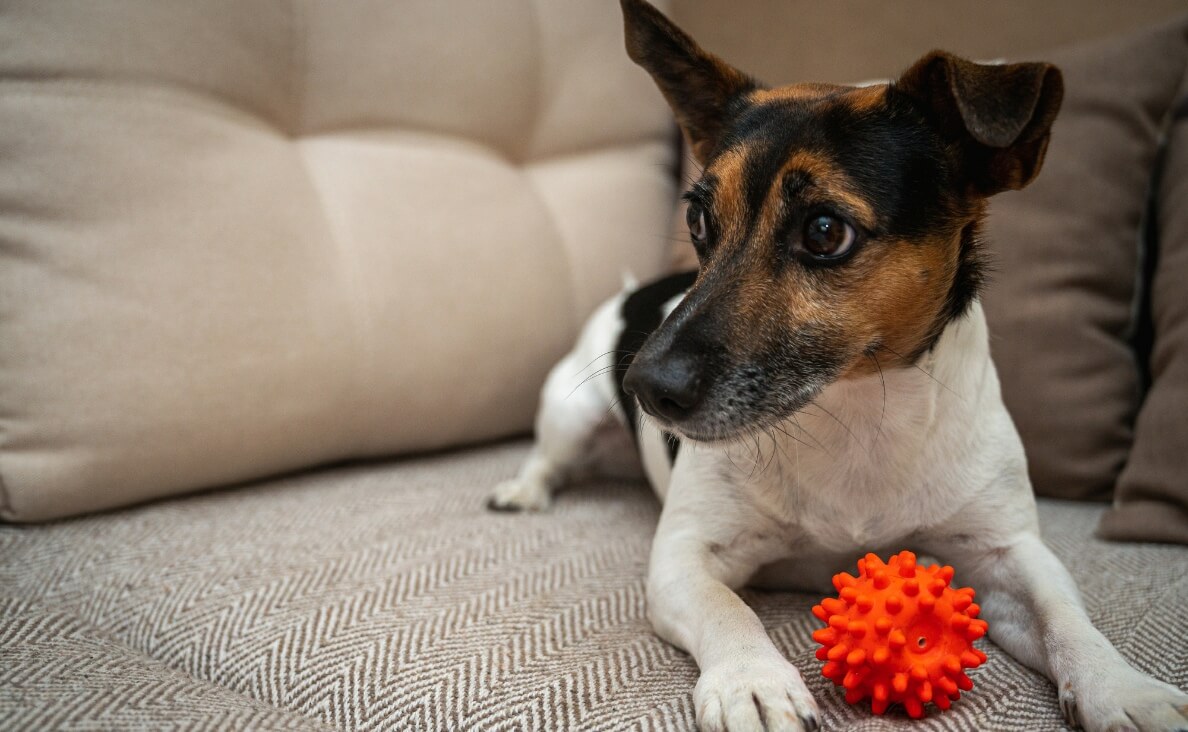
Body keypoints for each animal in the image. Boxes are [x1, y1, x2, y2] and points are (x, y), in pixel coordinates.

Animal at [487, 2, 1183, 727]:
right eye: (699, 220)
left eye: (825, 231)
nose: (644, 387)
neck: (855, 409)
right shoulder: (685, 557)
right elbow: (727, 608)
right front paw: (752, 681)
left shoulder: (1009, 553)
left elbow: (1066, 615)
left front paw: (1122, 688)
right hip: (569, 411)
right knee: (548, 457)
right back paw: (523, 490)